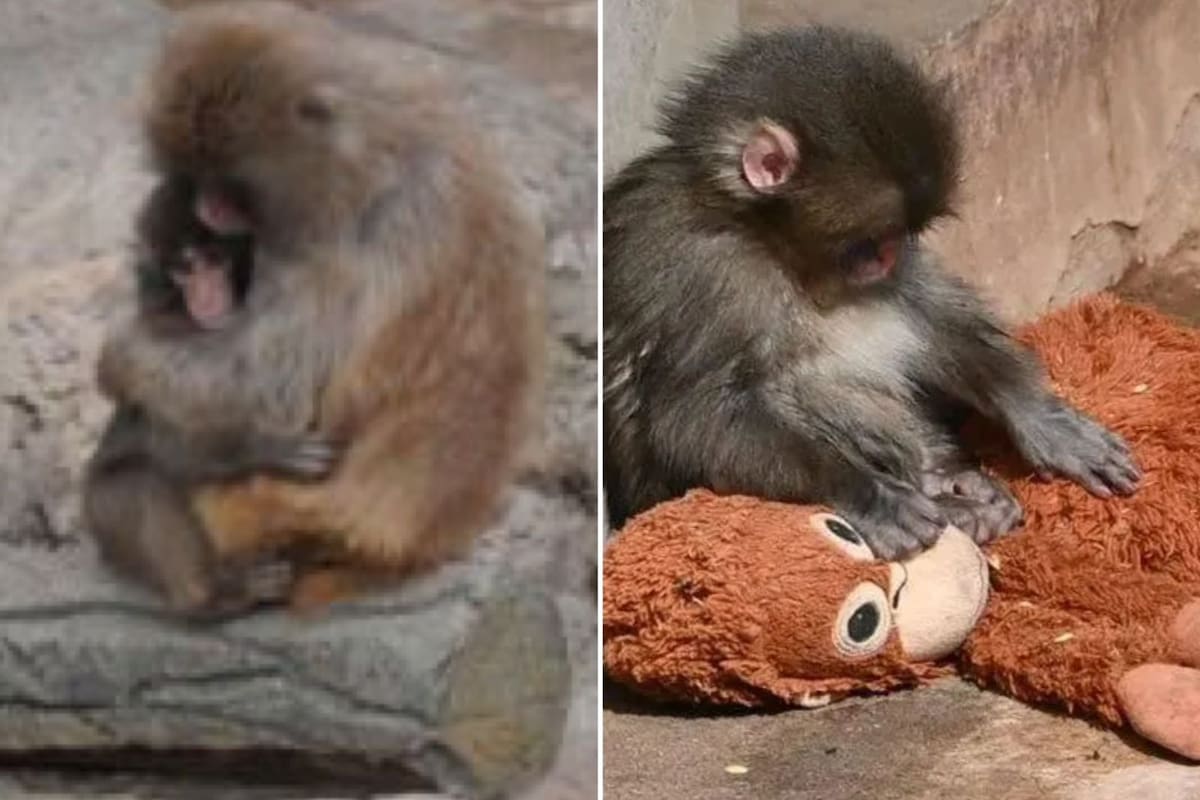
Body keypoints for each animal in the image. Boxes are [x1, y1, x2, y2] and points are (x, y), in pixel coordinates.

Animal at [92, 0, 546, 612]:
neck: (371, 151)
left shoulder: (347, 239)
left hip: (249, 507)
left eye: (229, 183)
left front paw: (119, 355)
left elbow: (275, 383)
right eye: (198, 176)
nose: (208, 208)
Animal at [602, 27, 1140, 559]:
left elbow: (924, 309)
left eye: (901, 236)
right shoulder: (698, 267)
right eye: (868, 243)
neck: (765, 239)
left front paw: (1039, 414)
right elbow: (692, 415)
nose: (889, 257)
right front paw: (868, 493)